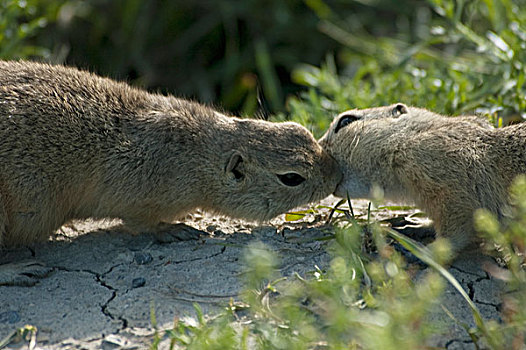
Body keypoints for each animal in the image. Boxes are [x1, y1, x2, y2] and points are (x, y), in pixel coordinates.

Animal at [0, 60, 342, 247]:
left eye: (300, 129)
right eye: (292, 178)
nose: (335, 172)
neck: (195, 154)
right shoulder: (139, 198)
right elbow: (141, 223)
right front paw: (174, 230)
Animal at [320, 103, 524, 254]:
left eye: (346, 121)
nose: (319, 146)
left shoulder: (451, 189)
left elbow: (456, 230)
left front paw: (423, 250)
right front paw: (413, 224)